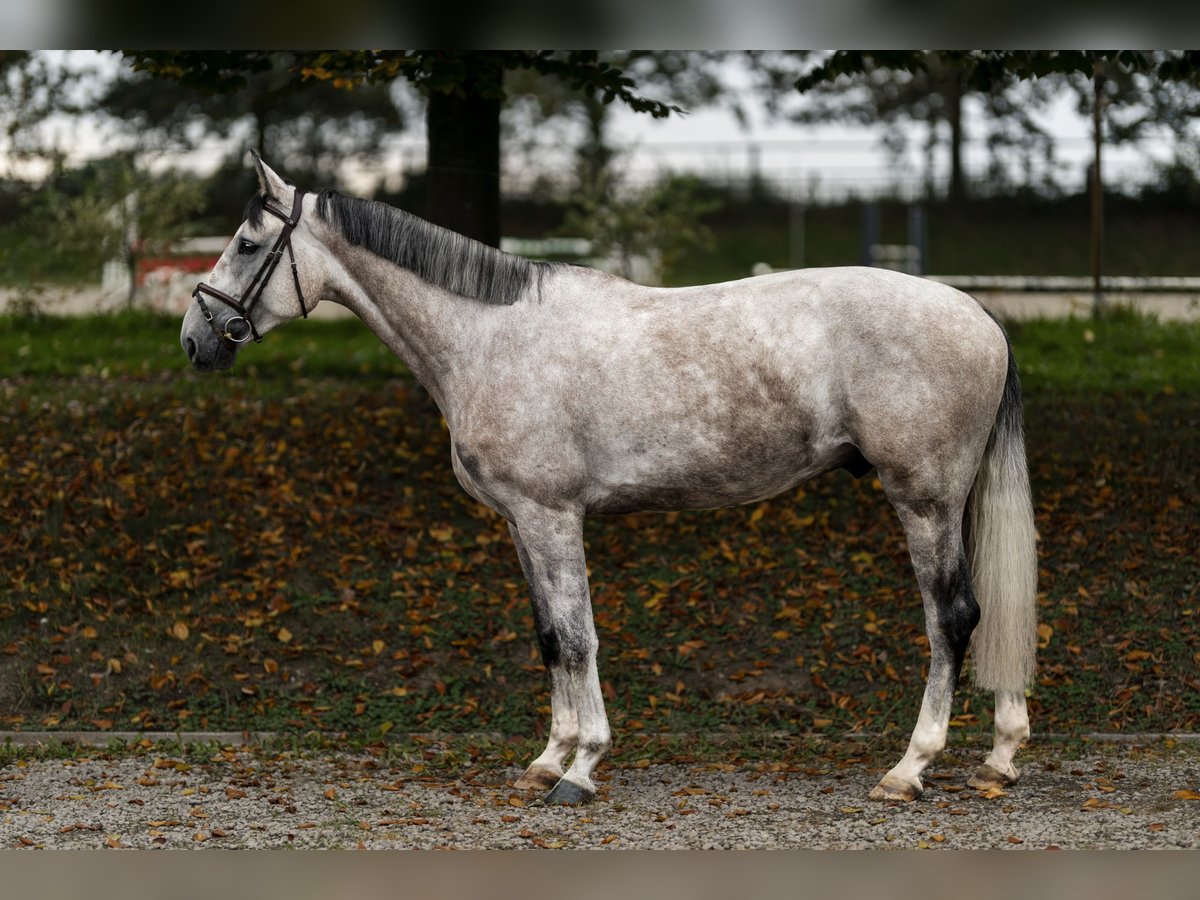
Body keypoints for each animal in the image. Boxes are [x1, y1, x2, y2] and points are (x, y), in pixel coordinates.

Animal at [181, 153, 1038, 806]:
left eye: (249, 243)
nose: (195, 338)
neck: (487, 335)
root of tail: (981, 316)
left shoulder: (552, 514)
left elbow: (577, 636)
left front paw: (583, 766)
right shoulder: (522, 522)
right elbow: (549, 637)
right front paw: (547, 761)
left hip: (923, 500)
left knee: (953, 618)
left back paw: (910, 769)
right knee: (987, 613)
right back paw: (999, 758)